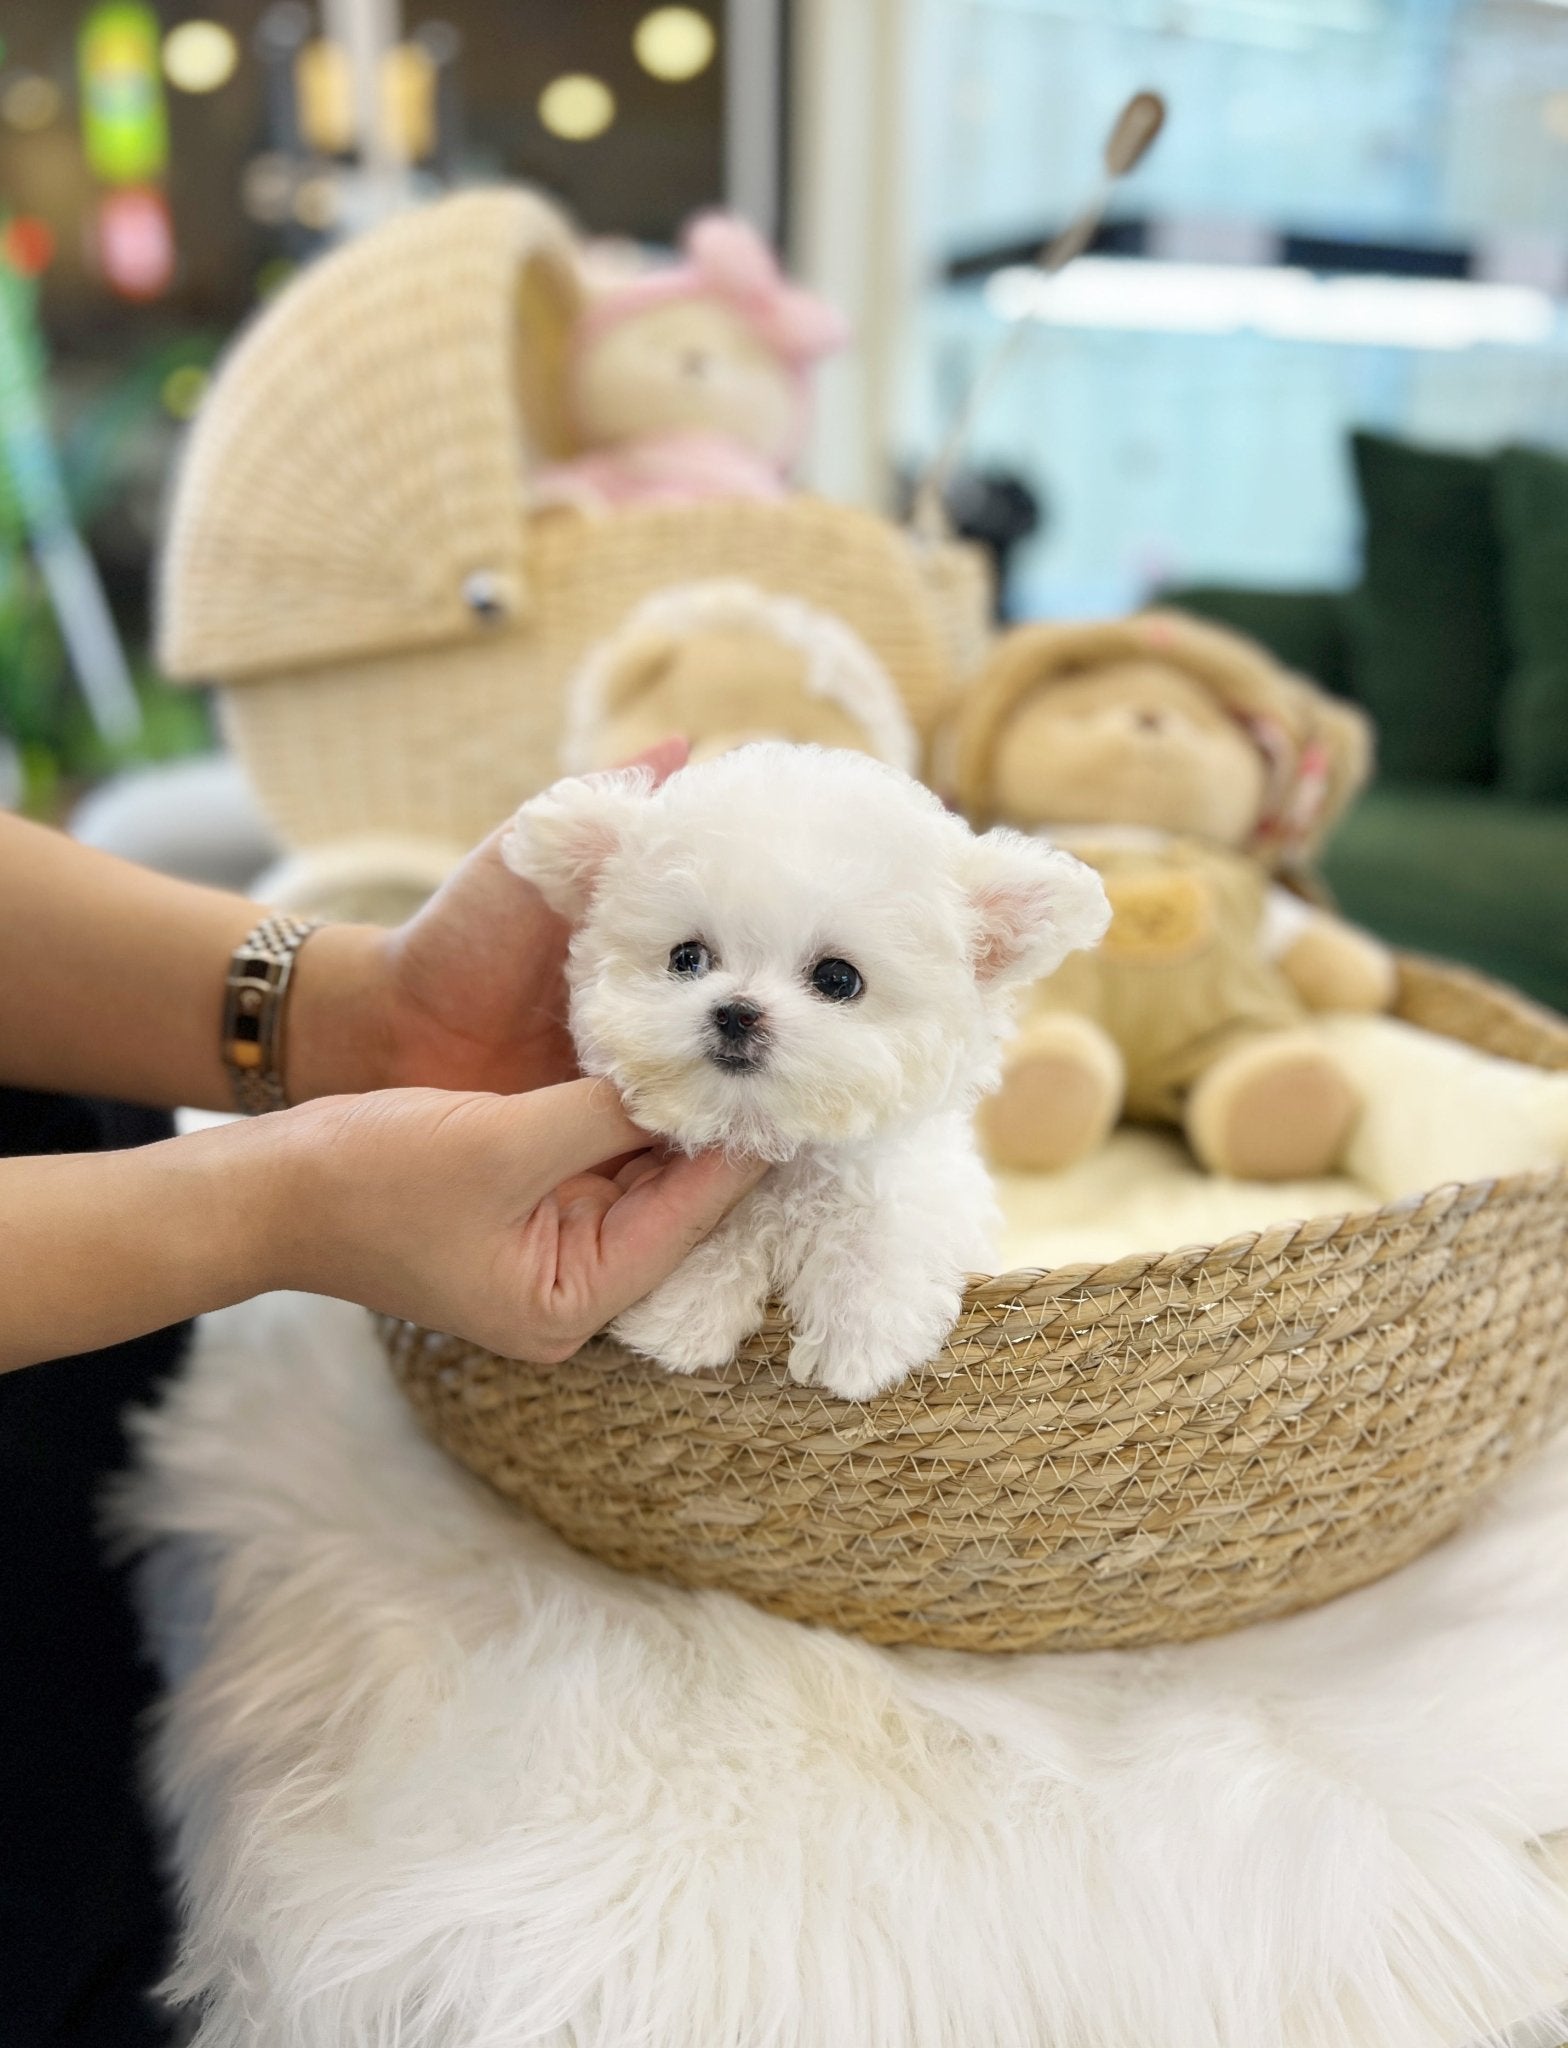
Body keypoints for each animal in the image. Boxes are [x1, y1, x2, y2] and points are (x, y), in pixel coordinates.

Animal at [503, 745, 1105, 1400]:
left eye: (837, 979)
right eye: (686, 959)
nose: (735, 1011)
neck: (783, 1153)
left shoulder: (919, 1189)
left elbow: (883, 1226)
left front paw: (863, 1337)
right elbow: (717, 1236)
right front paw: (681, 1313)